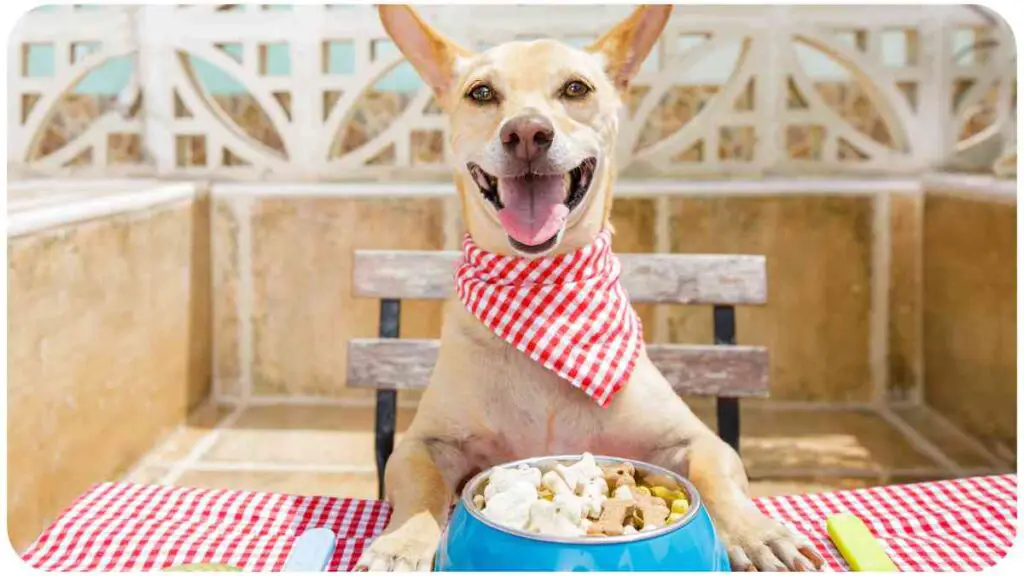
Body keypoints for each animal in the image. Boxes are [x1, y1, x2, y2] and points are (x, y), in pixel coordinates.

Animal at [356, 5, 827, 569]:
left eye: (576, 88)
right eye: (482, 93)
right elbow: (423, 488)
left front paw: (755, 532)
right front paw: (402, 542)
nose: (527, 133)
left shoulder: (697, 439)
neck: (543, 296)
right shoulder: (420, 444)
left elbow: (715, 476)